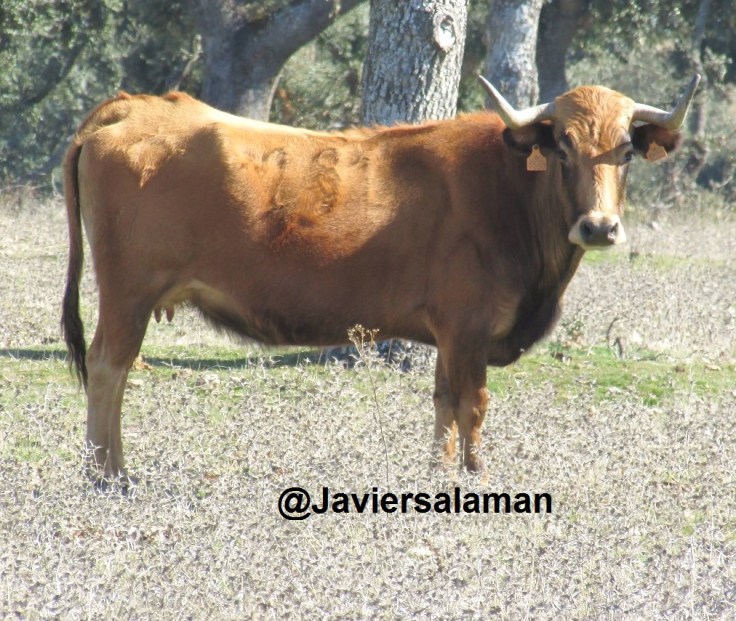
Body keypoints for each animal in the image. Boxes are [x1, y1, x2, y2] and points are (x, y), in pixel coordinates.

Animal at [62, 75, 699, 481]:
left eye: (625, 152)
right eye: (563, 147)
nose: (598, 226)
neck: (509, 192)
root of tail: (133, 106)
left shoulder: (448, 335)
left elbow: (444, 404)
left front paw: (439, 475)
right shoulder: (468, 330)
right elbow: (473, 404)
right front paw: (476, 476)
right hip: (128, 294)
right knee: (108, 368)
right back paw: (107, 476)